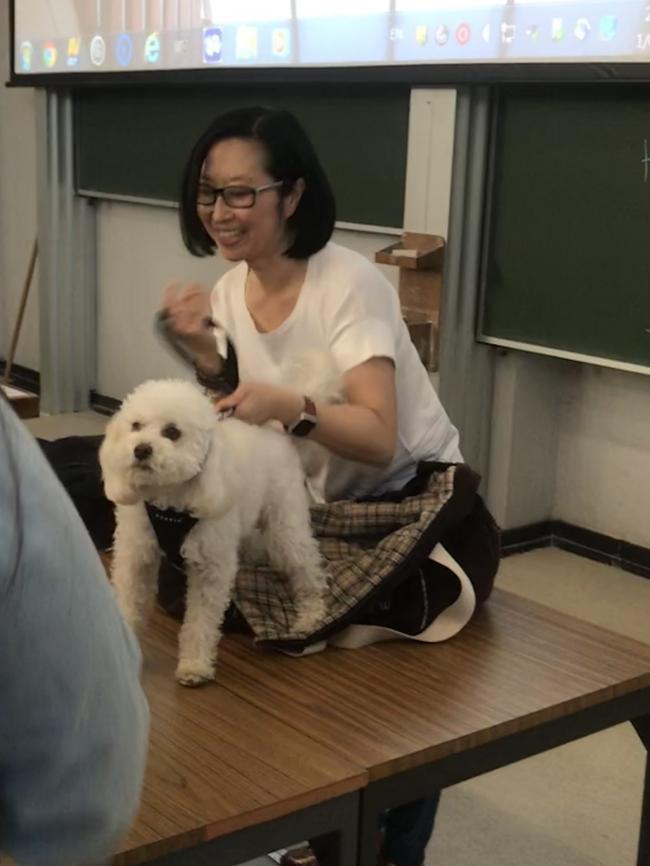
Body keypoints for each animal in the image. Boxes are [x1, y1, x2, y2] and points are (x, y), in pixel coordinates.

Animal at [100, 376, 326, 680]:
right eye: (135, 426)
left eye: (172, 432)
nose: (141, 449)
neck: (169, 501)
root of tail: (276, 433)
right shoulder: (136, 556)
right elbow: (129, 599)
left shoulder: (211, 567)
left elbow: (202, 622)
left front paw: (195, 665)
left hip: (285, 525)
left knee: (306, 567)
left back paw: (311, 615)